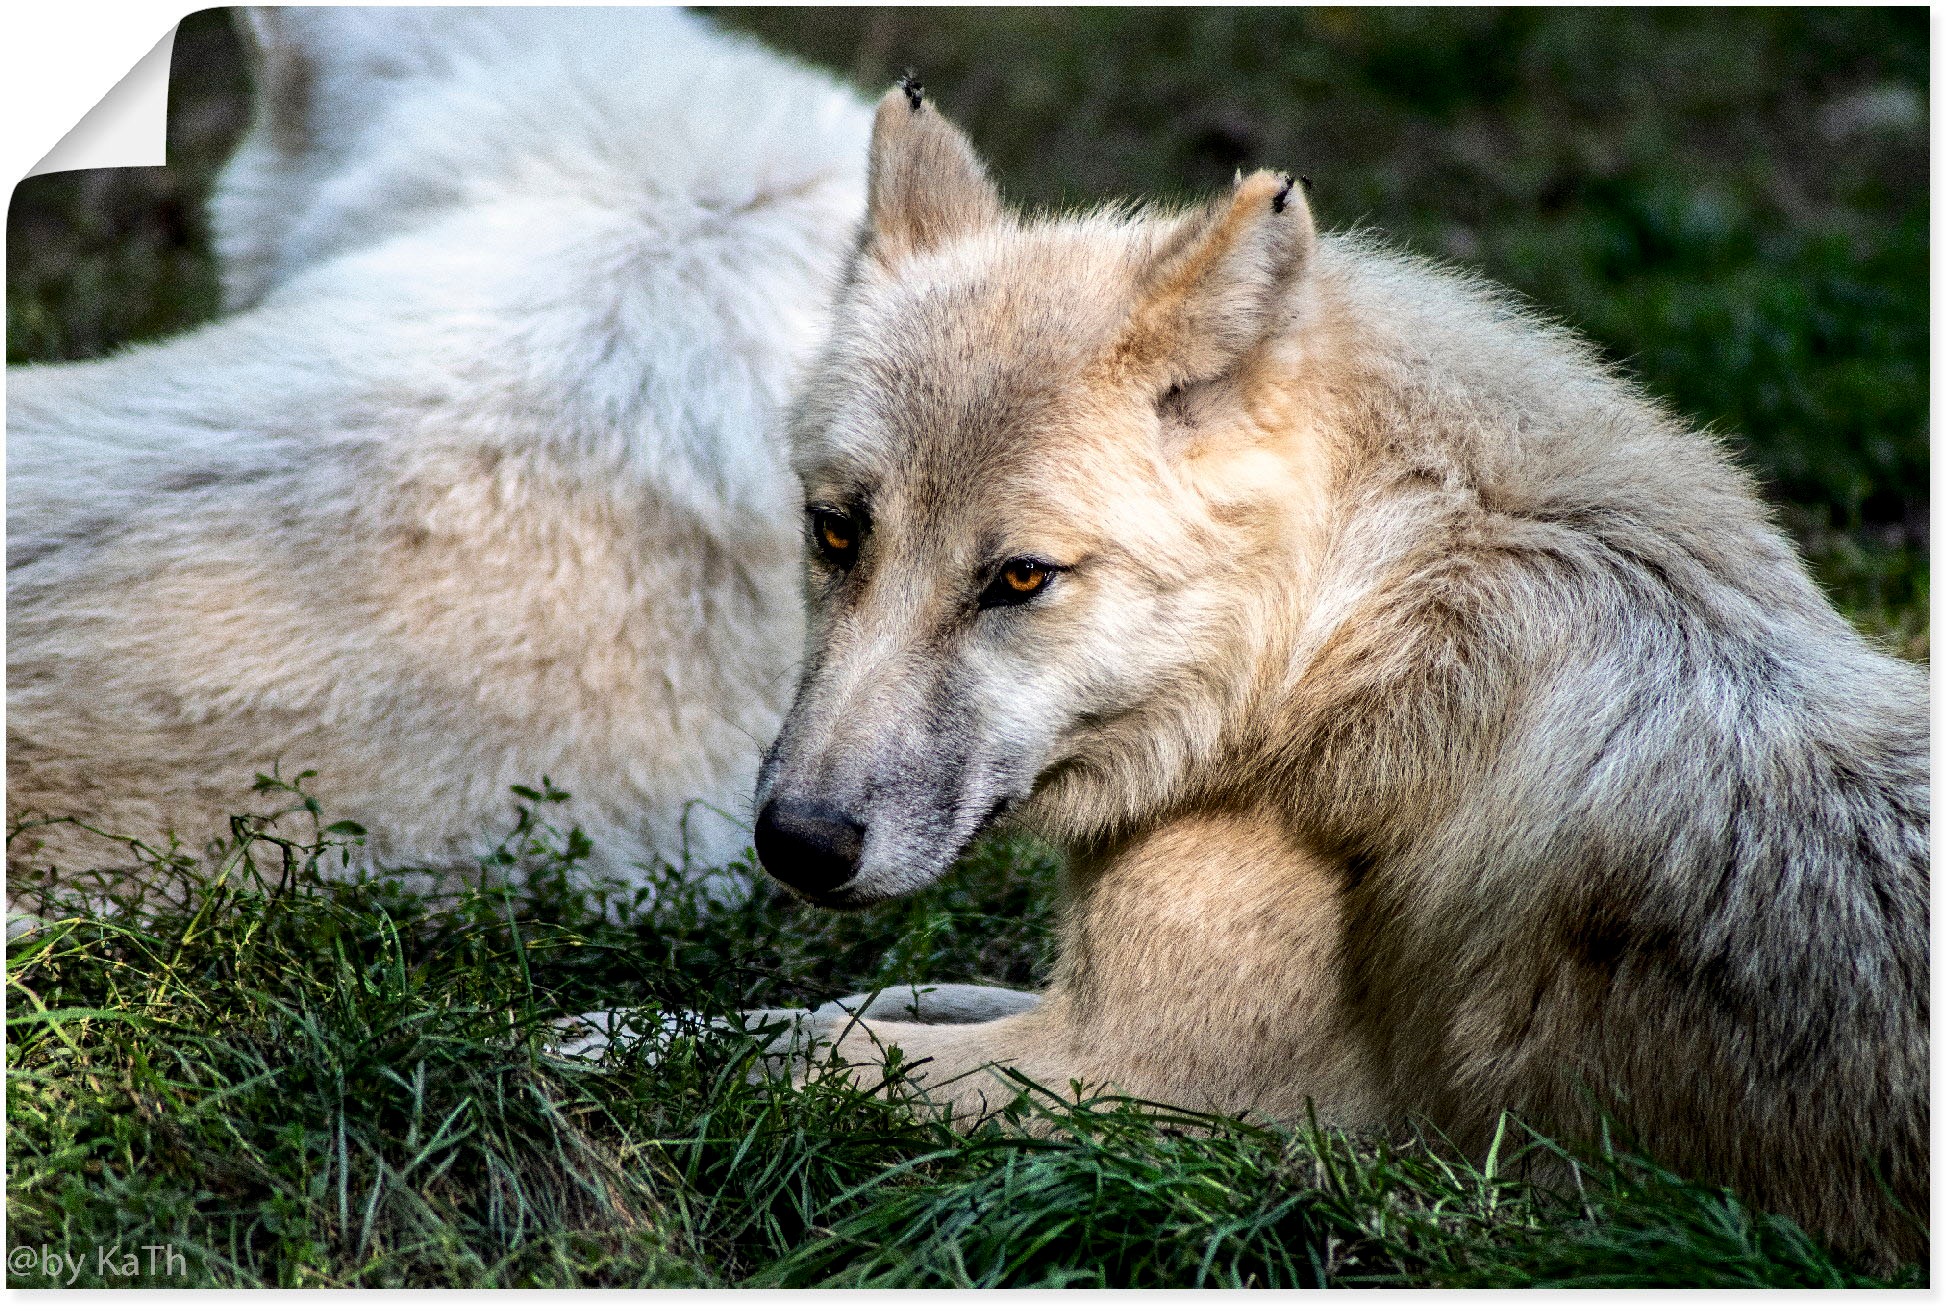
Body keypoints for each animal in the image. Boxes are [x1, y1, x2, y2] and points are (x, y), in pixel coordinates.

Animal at [749, 85, 1929, 1266]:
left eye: (1020, 577)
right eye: (837, 532)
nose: (795, 842)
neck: (1340, 635)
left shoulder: (1120, 1082)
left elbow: (797, 1057)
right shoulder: (1066, 1011)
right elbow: (853, 1004)